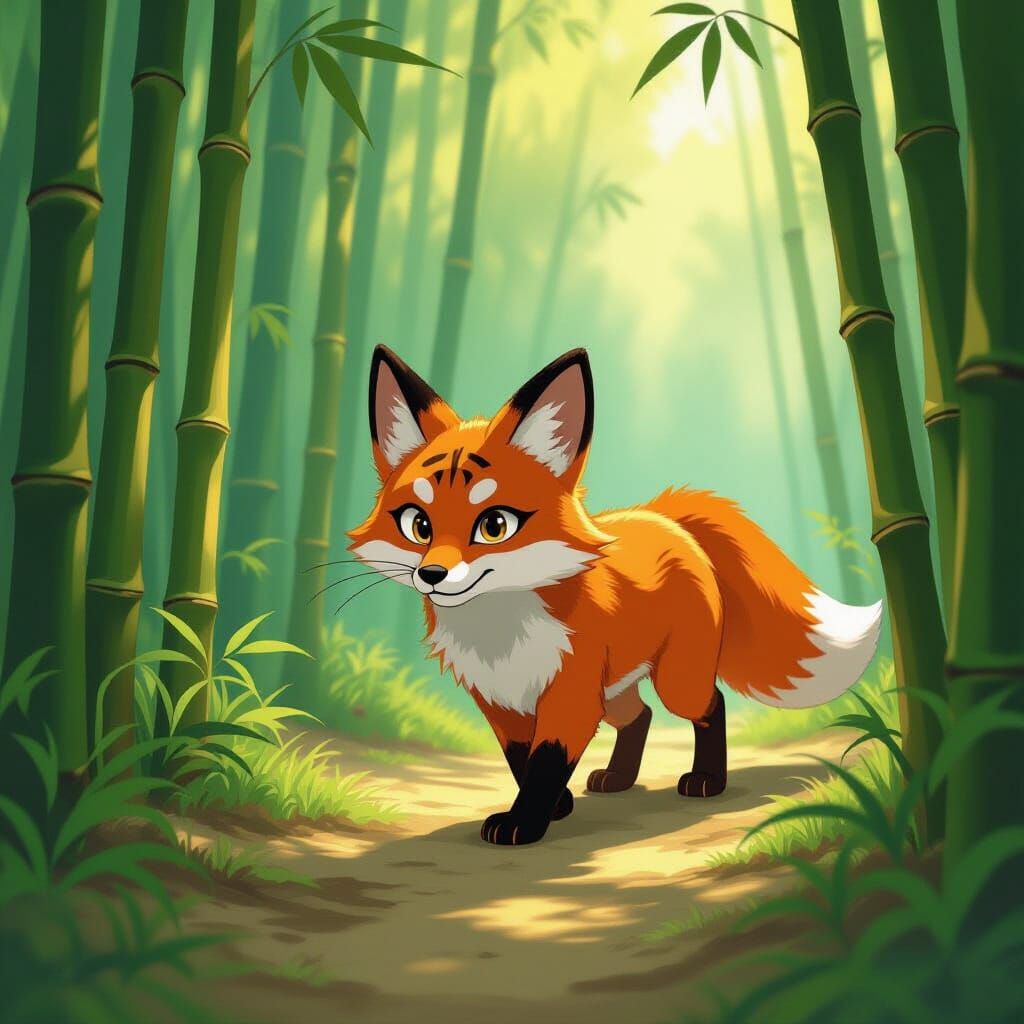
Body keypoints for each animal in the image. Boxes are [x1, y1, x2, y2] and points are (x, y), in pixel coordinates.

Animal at [349, 345, 882, 846]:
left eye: (494, 525)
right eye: (418, 525)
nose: (432, 574)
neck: (500, 636)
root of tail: (665, 515)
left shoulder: (570, 695)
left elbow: (545, 762)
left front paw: (524, 823)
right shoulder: (500, 702)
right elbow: (522, 761)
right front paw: (556, 806)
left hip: (674, 681)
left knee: (709, 705)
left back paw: (707, 780)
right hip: (616, 688)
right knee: (640, 716)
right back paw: (620, 777)